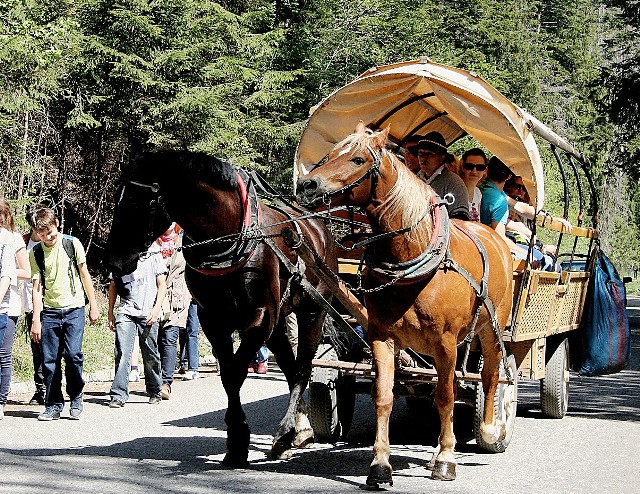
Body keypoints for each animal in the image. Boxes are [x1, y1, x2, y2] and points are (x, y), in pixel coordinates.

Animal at [107, 150, 338, 464]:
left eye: (135, 201)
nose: (113, 260)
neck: (230, 235)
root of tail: (320, 229)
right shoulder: (213, 319)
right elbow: (229, 376)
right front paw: (237, 440)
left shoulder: (259, 318)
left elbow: (236, 372)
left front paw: (239, 439)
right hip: (279, 320)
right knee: (290, 368)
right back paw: (297, 430)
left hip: (313, 310)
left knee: (302, 368)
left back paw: (287, 431)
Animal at [296, 122, 516, 482]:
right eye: (330, 153)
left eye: (358, 159)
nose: (307, 185)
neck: (413, 260)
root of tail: (495, 238)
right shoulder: (382, 337)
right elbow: (384, 396)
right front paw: (380, 464)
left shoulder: (445, 343)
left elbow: (445, 397)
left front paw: (447, 458)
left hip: (490, 331)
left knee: (491, 376)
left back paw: (488, 429)